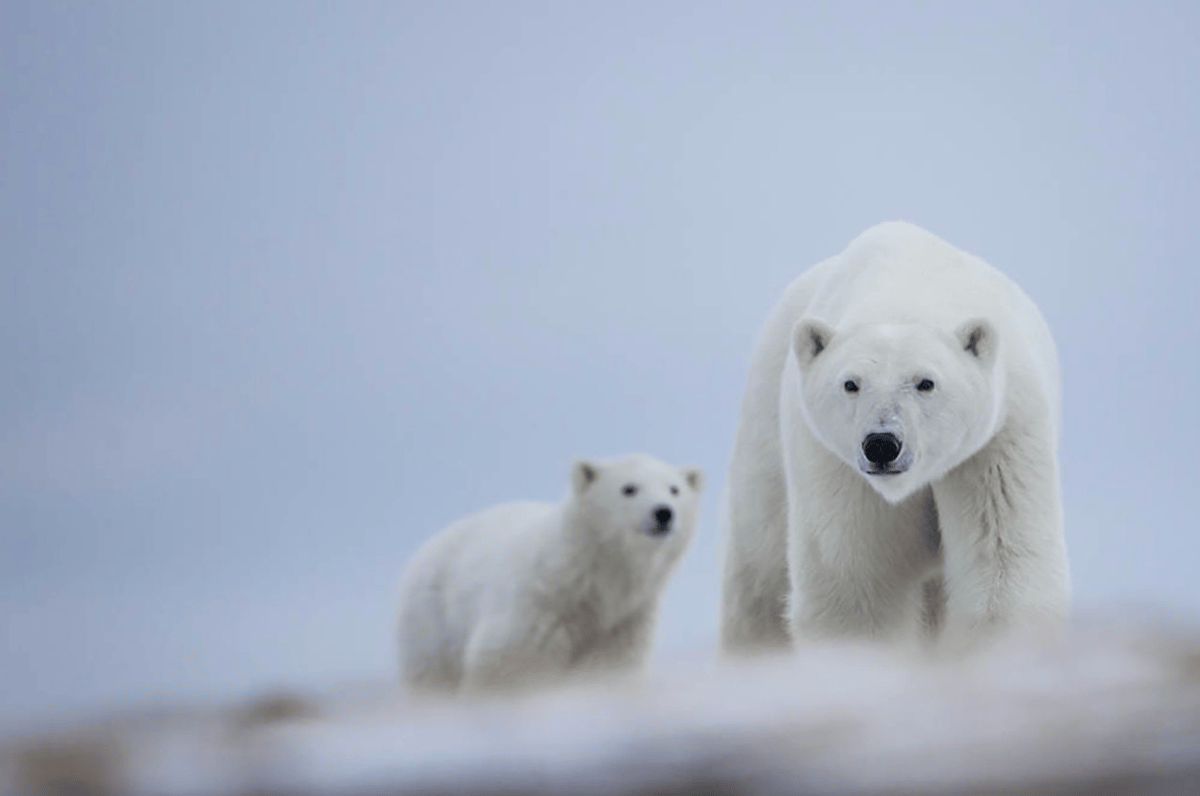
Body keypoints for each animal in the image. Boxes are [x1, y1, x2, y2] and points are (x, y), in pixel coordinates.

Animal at [720, 222, 1070, 653]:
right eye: (851, 383)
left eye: (925, 382)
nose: (882, 444)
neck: (904, 287)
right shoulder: (834, 462)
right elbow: (856, 584)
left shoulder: (1000, 439)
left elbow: (1004, 561)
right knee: (760, 568)